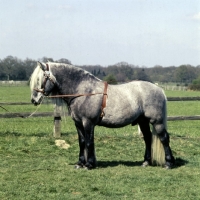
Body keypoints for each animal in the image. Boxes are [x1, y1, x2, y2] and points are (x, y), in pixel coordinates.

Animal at [30, 61, 175, 170]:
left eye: (40, 79)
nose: (33, 100)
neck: (83, 91)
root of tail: (159, 89)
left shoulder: (88, 123)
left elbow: (89, 142)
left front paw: (89, 164)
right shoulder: (78, 123)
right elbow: (82, 142)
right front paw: (80, 163)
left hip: (157, 121)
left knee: (164, 138)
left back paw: (169, 163)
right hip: (143, 121)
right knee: (148, 138)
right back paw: (146, 162)